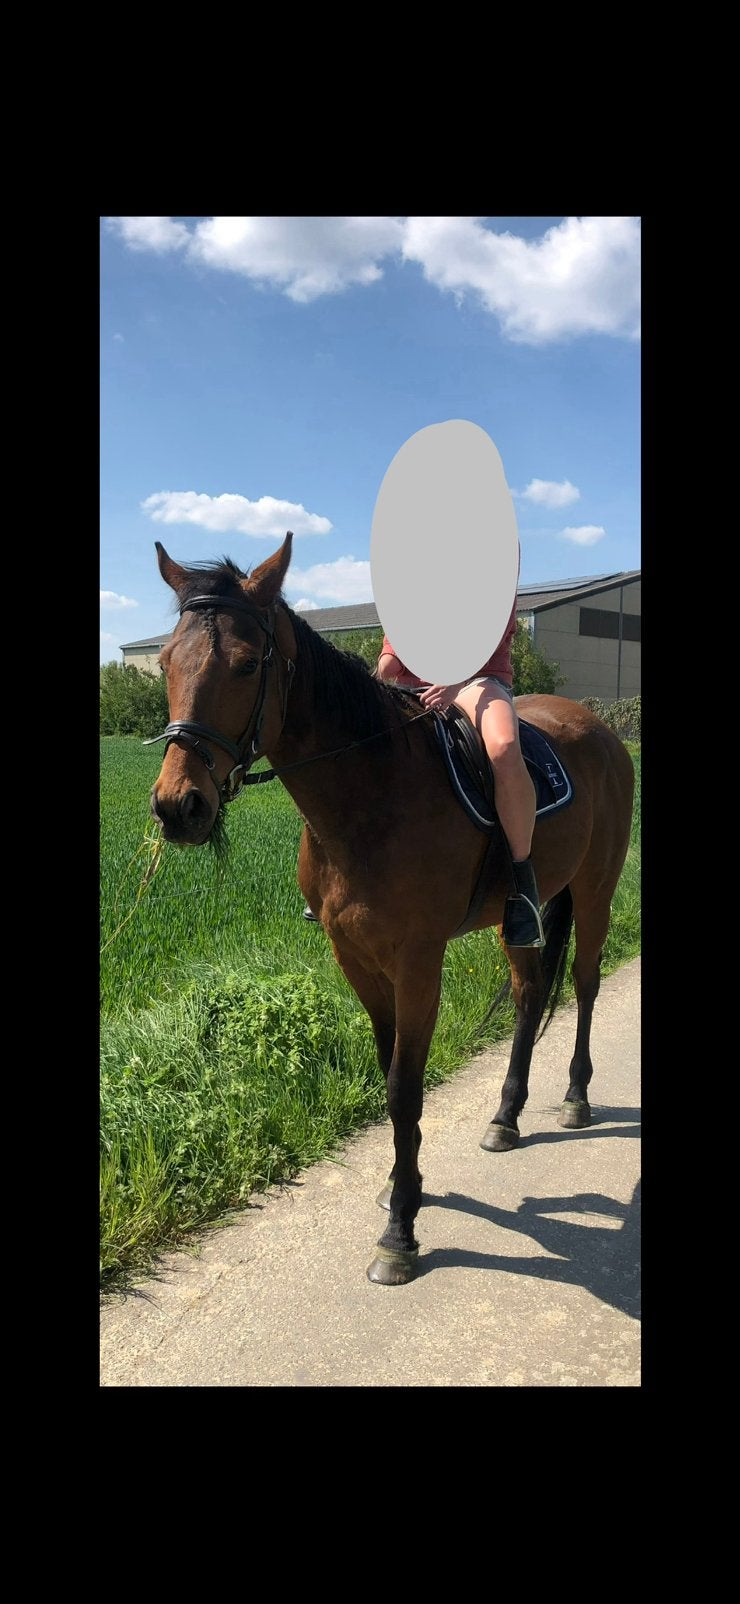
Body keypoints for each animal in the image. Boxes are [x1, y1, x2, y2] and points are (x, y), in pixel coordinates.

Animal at [148, 531, 635, 1285]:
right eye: (167, 661)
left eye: (248, 662)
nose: (179, 808)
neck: (371, 793)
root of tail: (601, 730)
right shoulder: (354, 956)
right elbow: (388, 1075)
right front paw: (402, 1185)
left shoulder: (417, 959)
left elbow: (407, 1086)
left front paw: (400, 1230)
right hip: (522, 918)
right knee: (530, 995)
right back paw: (506, 1116)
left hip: (595, 889)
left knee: (582, 983)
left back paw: (576, 1099)